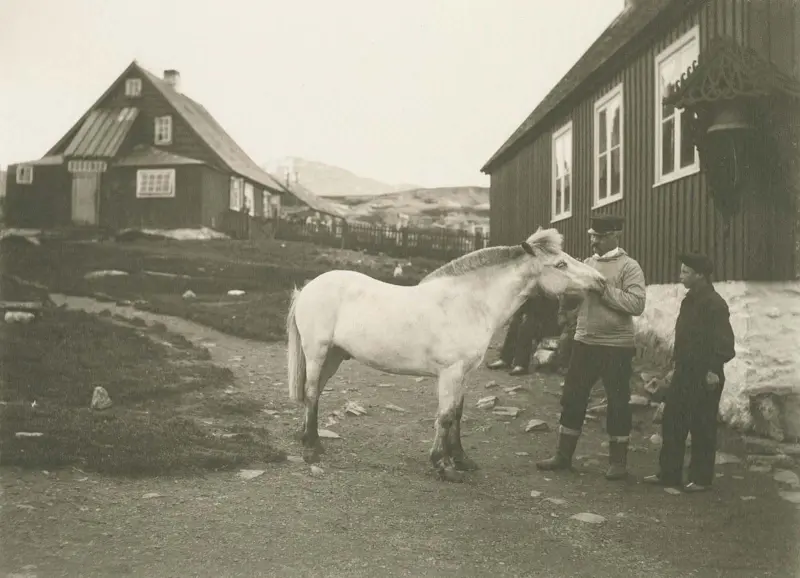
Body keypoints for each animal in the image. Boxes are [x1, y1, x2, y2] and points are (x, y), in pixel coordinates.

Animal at [285, 227, 604, 482]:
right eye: (560, 263)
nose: (601, 281)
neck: (467, 304)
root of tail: (308, 288)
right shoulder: (450, 373)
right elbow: (445, 416)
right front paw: (443, 465)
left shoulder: (463, 373)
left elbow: (458, 415)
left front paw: (461, 459)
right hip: (317, 353)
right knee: (311, 393)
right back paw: (312, 449)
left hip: (334, 356)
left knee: (315, 393)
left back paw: (306, 437)